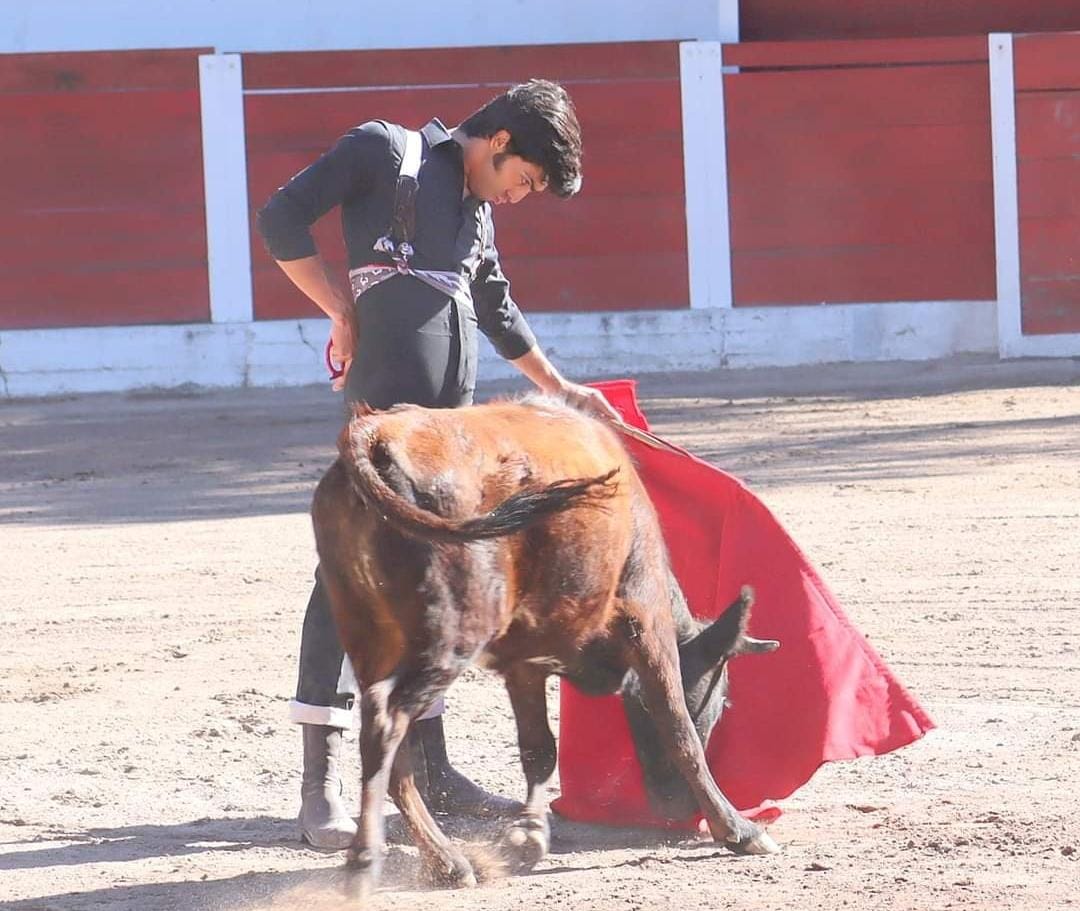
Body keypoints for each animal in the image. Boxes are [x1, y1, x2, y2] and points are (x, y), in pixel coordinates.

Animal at [311, 397, 777, 898]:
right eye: (722, 703)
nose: (672, 807)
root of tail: (375, 434)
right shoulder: (648, 622)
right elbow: (678, 728)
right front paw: (740, 830)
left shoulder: (525, 663)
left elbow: (539, 749)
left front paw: (529, 834)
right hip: (452, 635)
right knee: (388, 723)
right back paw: (367, 862)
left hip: (367, 631)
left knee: (388, 743)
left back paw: (448, 862)